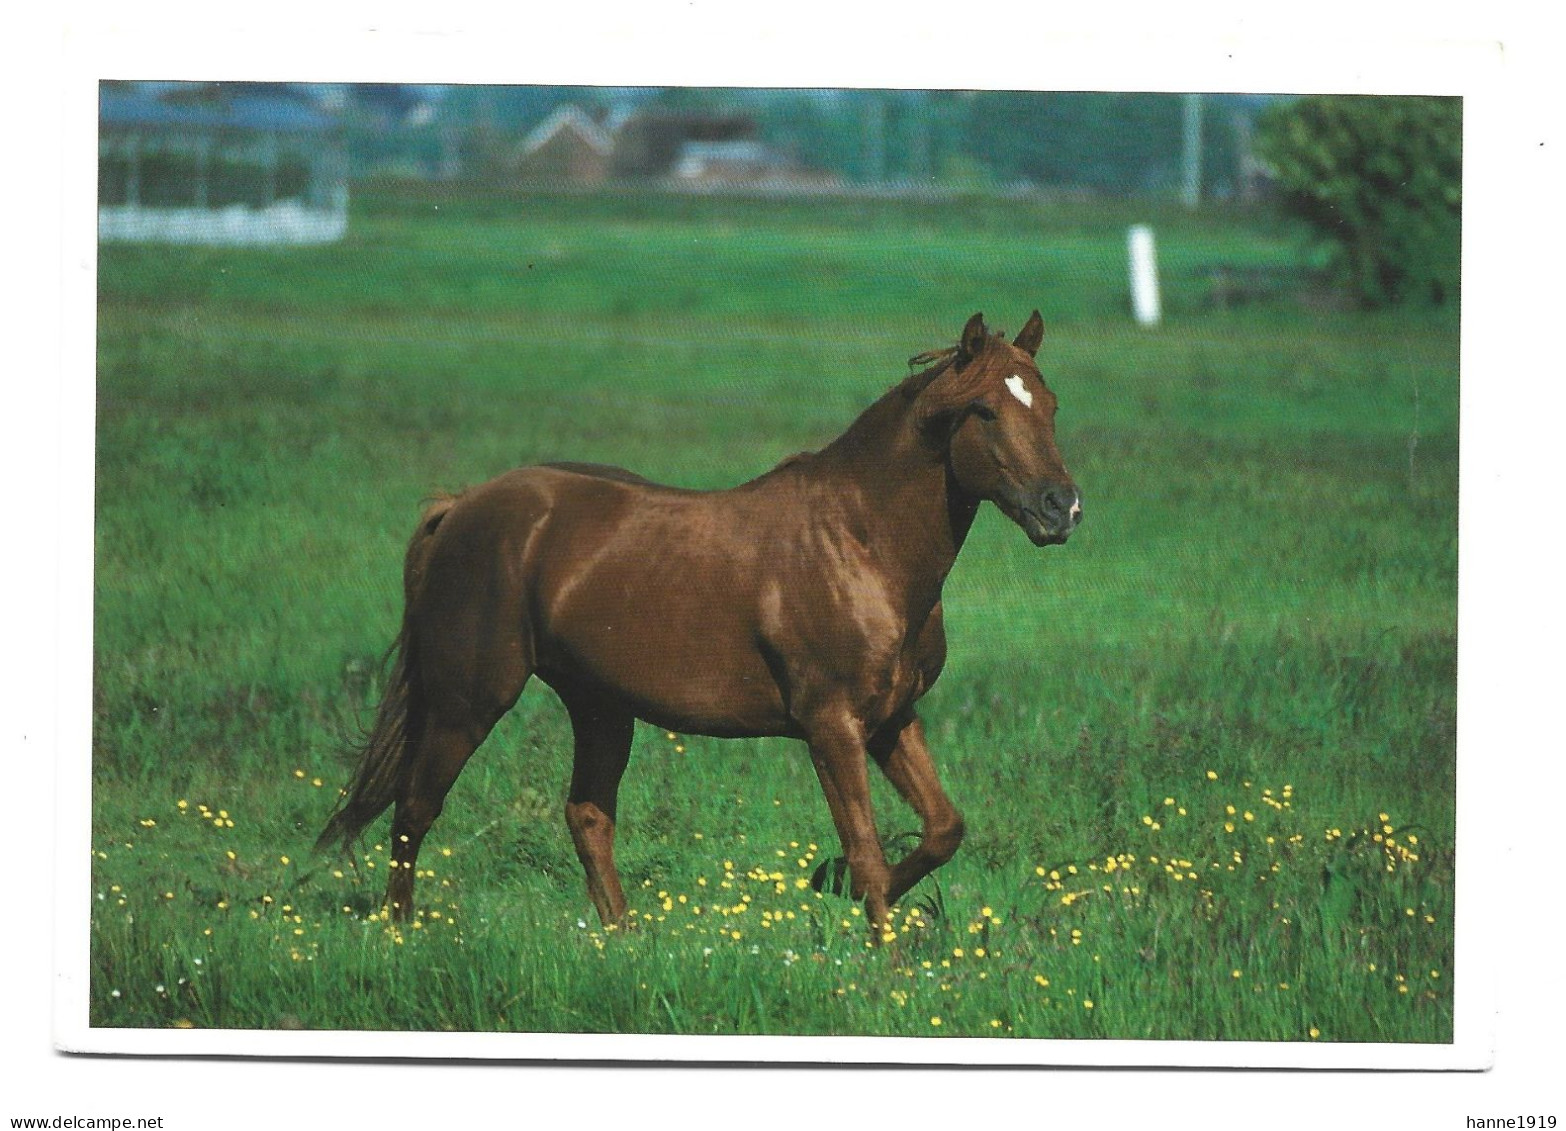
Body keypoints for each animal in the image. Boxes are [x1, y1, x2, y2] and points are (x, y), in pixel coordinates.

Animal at [314, 305, 1077, 933]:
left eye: (1049, 405)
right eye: (985, 410)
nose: (1060, 507)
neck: (860, 542)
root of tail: (461, 507)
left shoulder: (892, 717)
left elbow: (943, 828)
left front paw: (830, 883)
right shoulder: (830, 725)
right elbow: (864, 848)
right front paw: (879, 963)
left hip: (600, 707)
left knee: (586, 816)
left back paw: (624, 940)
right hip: (468, 700)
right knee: (414, 810)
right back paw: (402, 934)